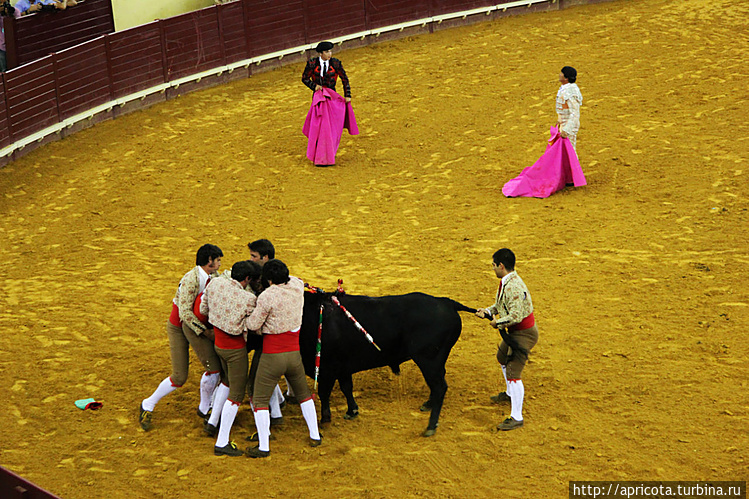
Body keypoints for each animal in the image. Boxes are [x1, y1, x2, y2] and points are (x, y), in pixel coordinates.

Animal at [298, 289, 477, 437]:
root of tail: (447, 302)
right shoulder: (342, 368)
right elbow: (346, 387)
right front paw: (352, 411)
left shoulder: (326, 369)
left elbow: (324, 393)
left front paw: (325, 420)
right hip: (436, 362)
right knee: (438, 383)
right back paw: (428, 404)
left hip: (429, 361)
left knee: (439, 387)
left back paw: (430, 426)